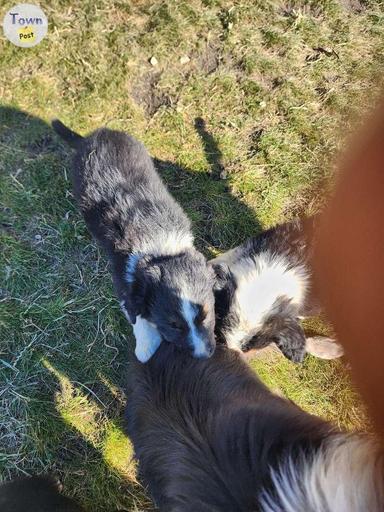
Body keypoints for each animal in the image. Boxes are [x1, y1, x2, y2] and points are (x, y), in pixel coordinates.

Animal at [52, 120, 218, 362]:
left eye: (205, 314)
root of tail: (92, 137)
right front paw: (146, 349)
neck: (162, 250)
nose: (203, 356)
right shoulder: (125, 282)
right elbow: (136, 315)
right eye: (173, 325)